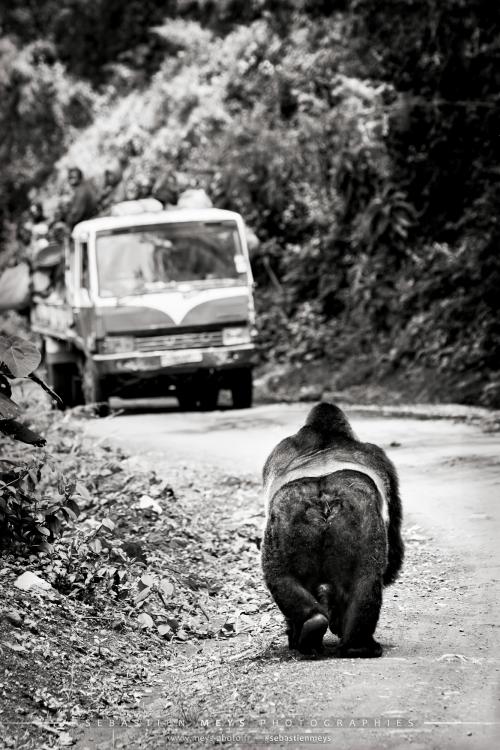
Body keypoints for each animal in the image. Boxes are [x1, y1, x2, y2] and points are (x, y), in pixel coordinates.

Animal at [262, 406, 402, 656]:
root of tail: (323, 499)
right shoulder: (381, 458)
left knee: (281, 577)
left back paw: (316, 628)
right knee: (365, 578)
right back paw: (355, 644)